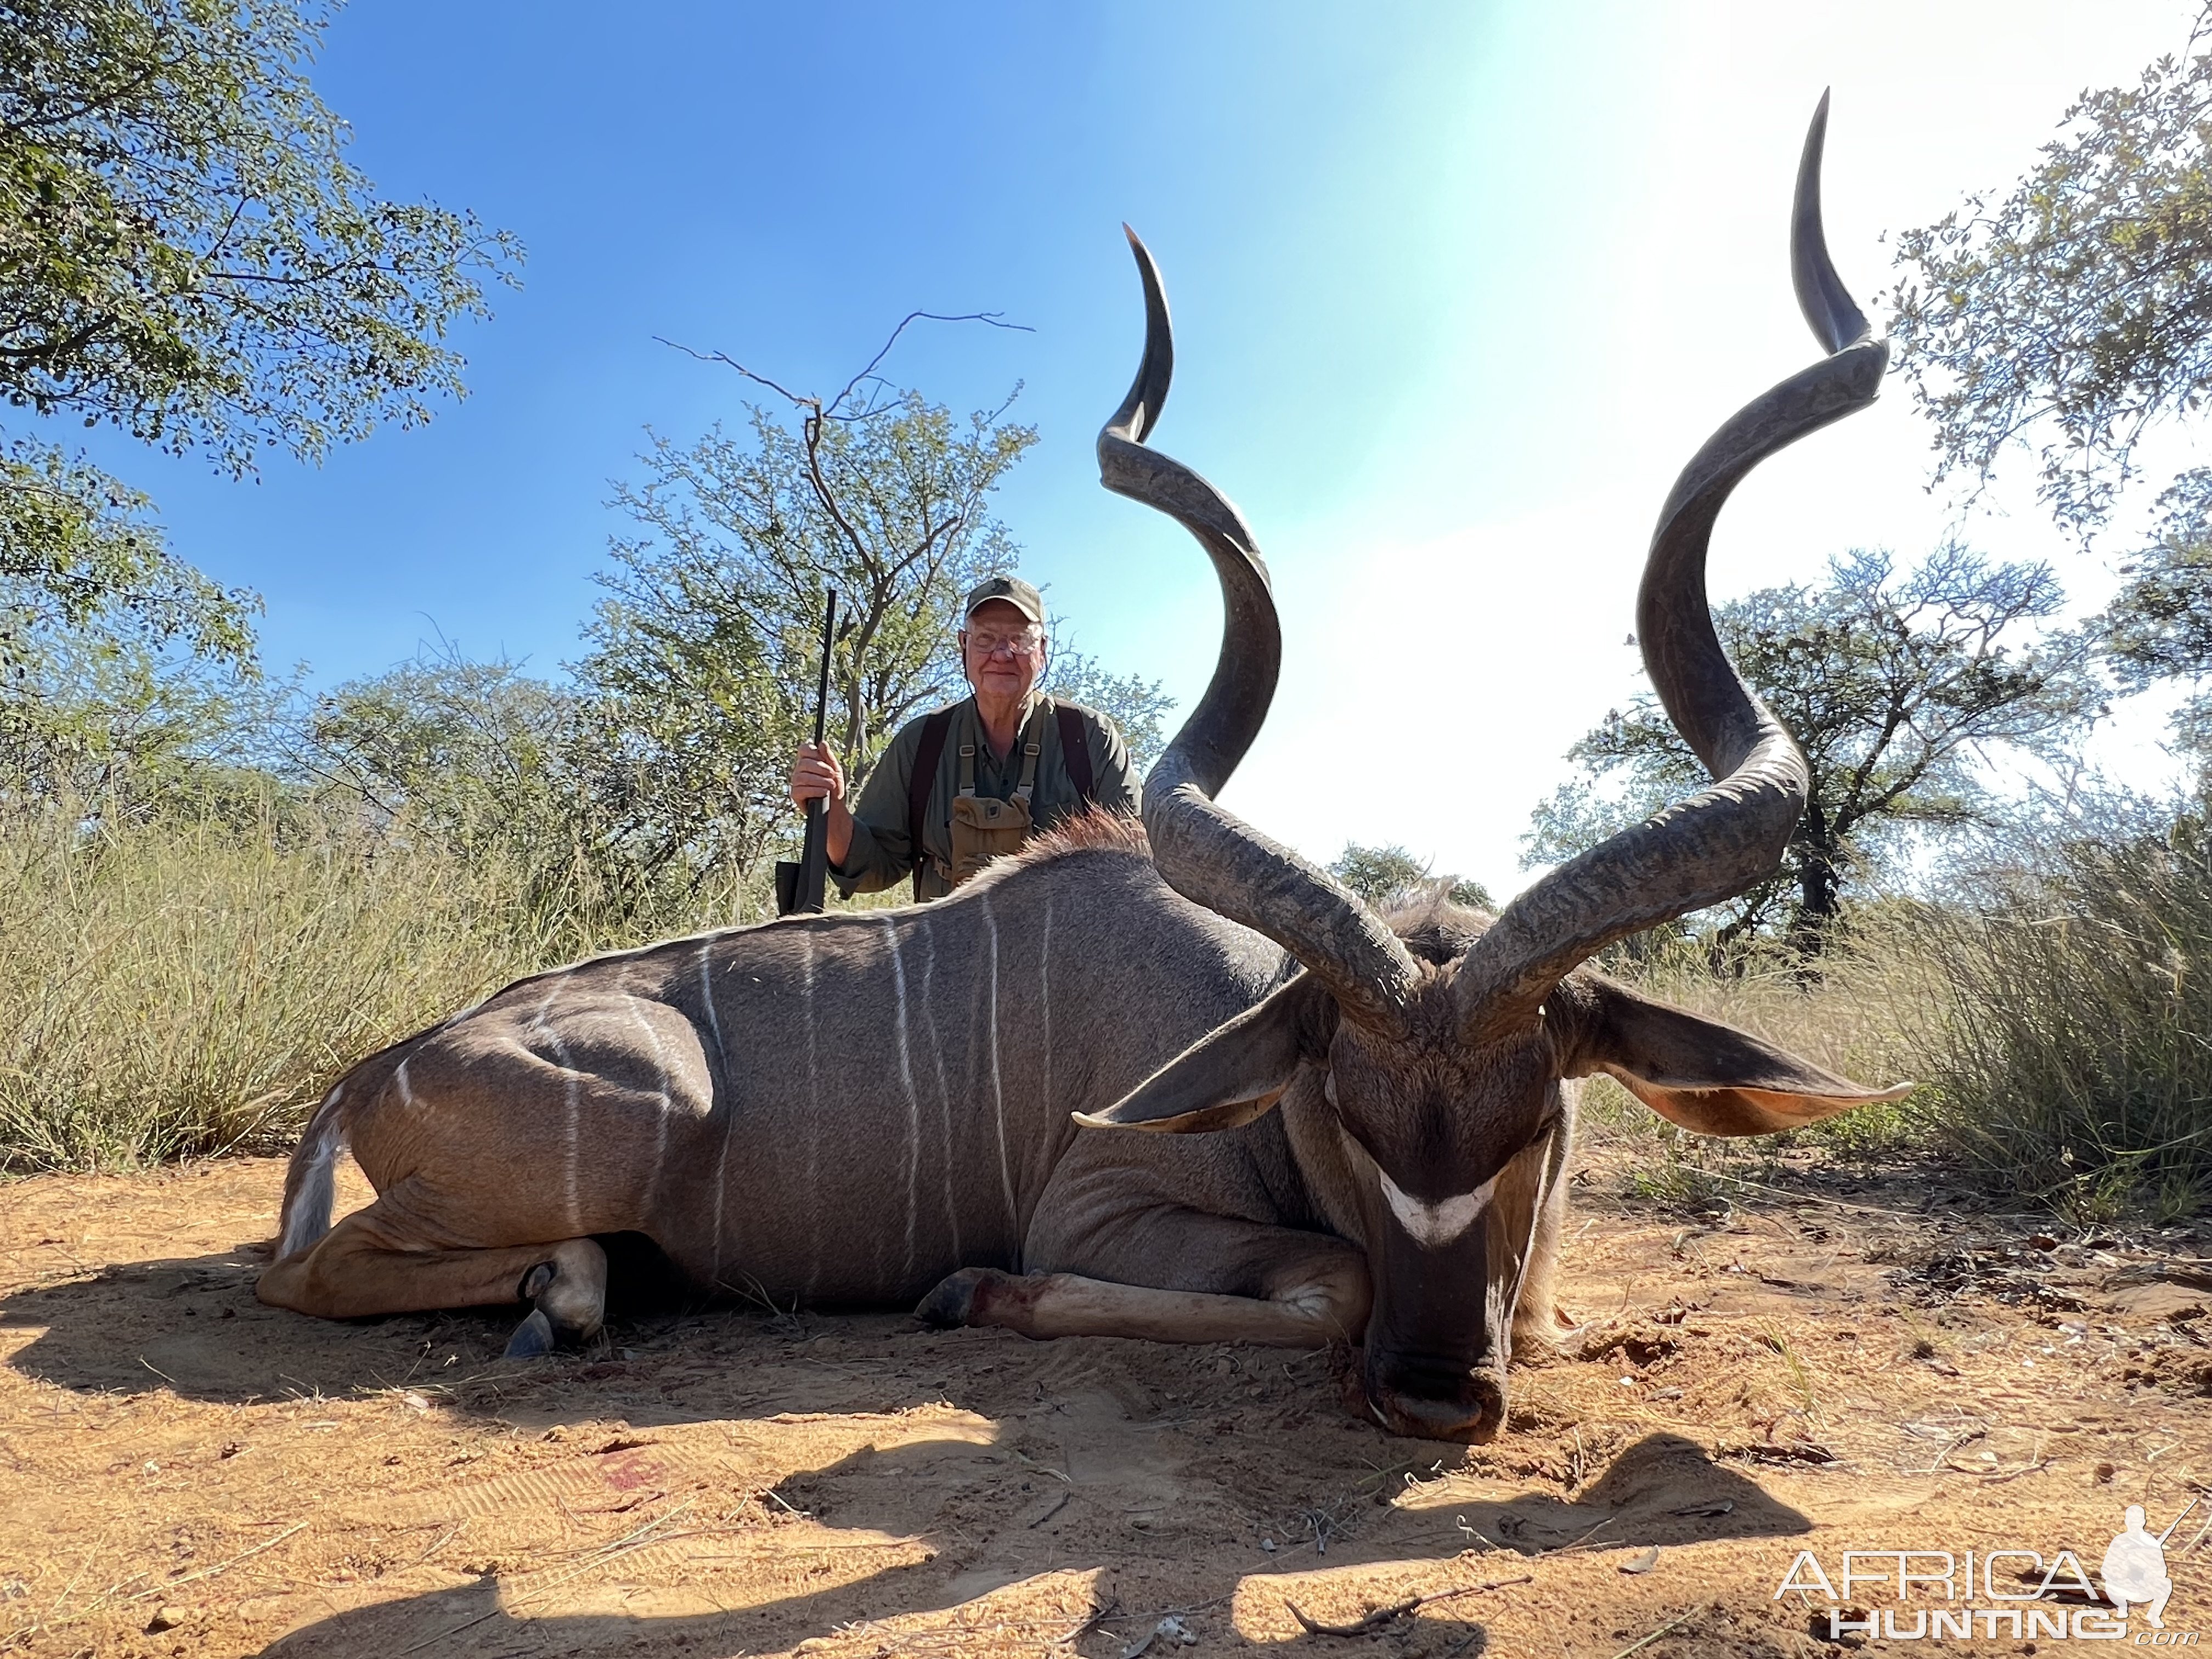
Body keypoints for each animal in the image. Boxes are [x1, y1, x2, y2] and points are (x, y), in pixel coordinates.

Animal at [263, 107, 1902, 1442]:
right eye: (1349, 1113)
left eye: (1543, 1121)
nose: (1439, 1394)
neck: (1242, 1020)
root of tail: (376, 1071)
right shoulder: (1099, 1210)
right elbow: (1329, 1282)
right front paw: (968, 1295)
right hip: (634, 1114)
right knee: (322, 1274)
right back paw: (561, 1296)